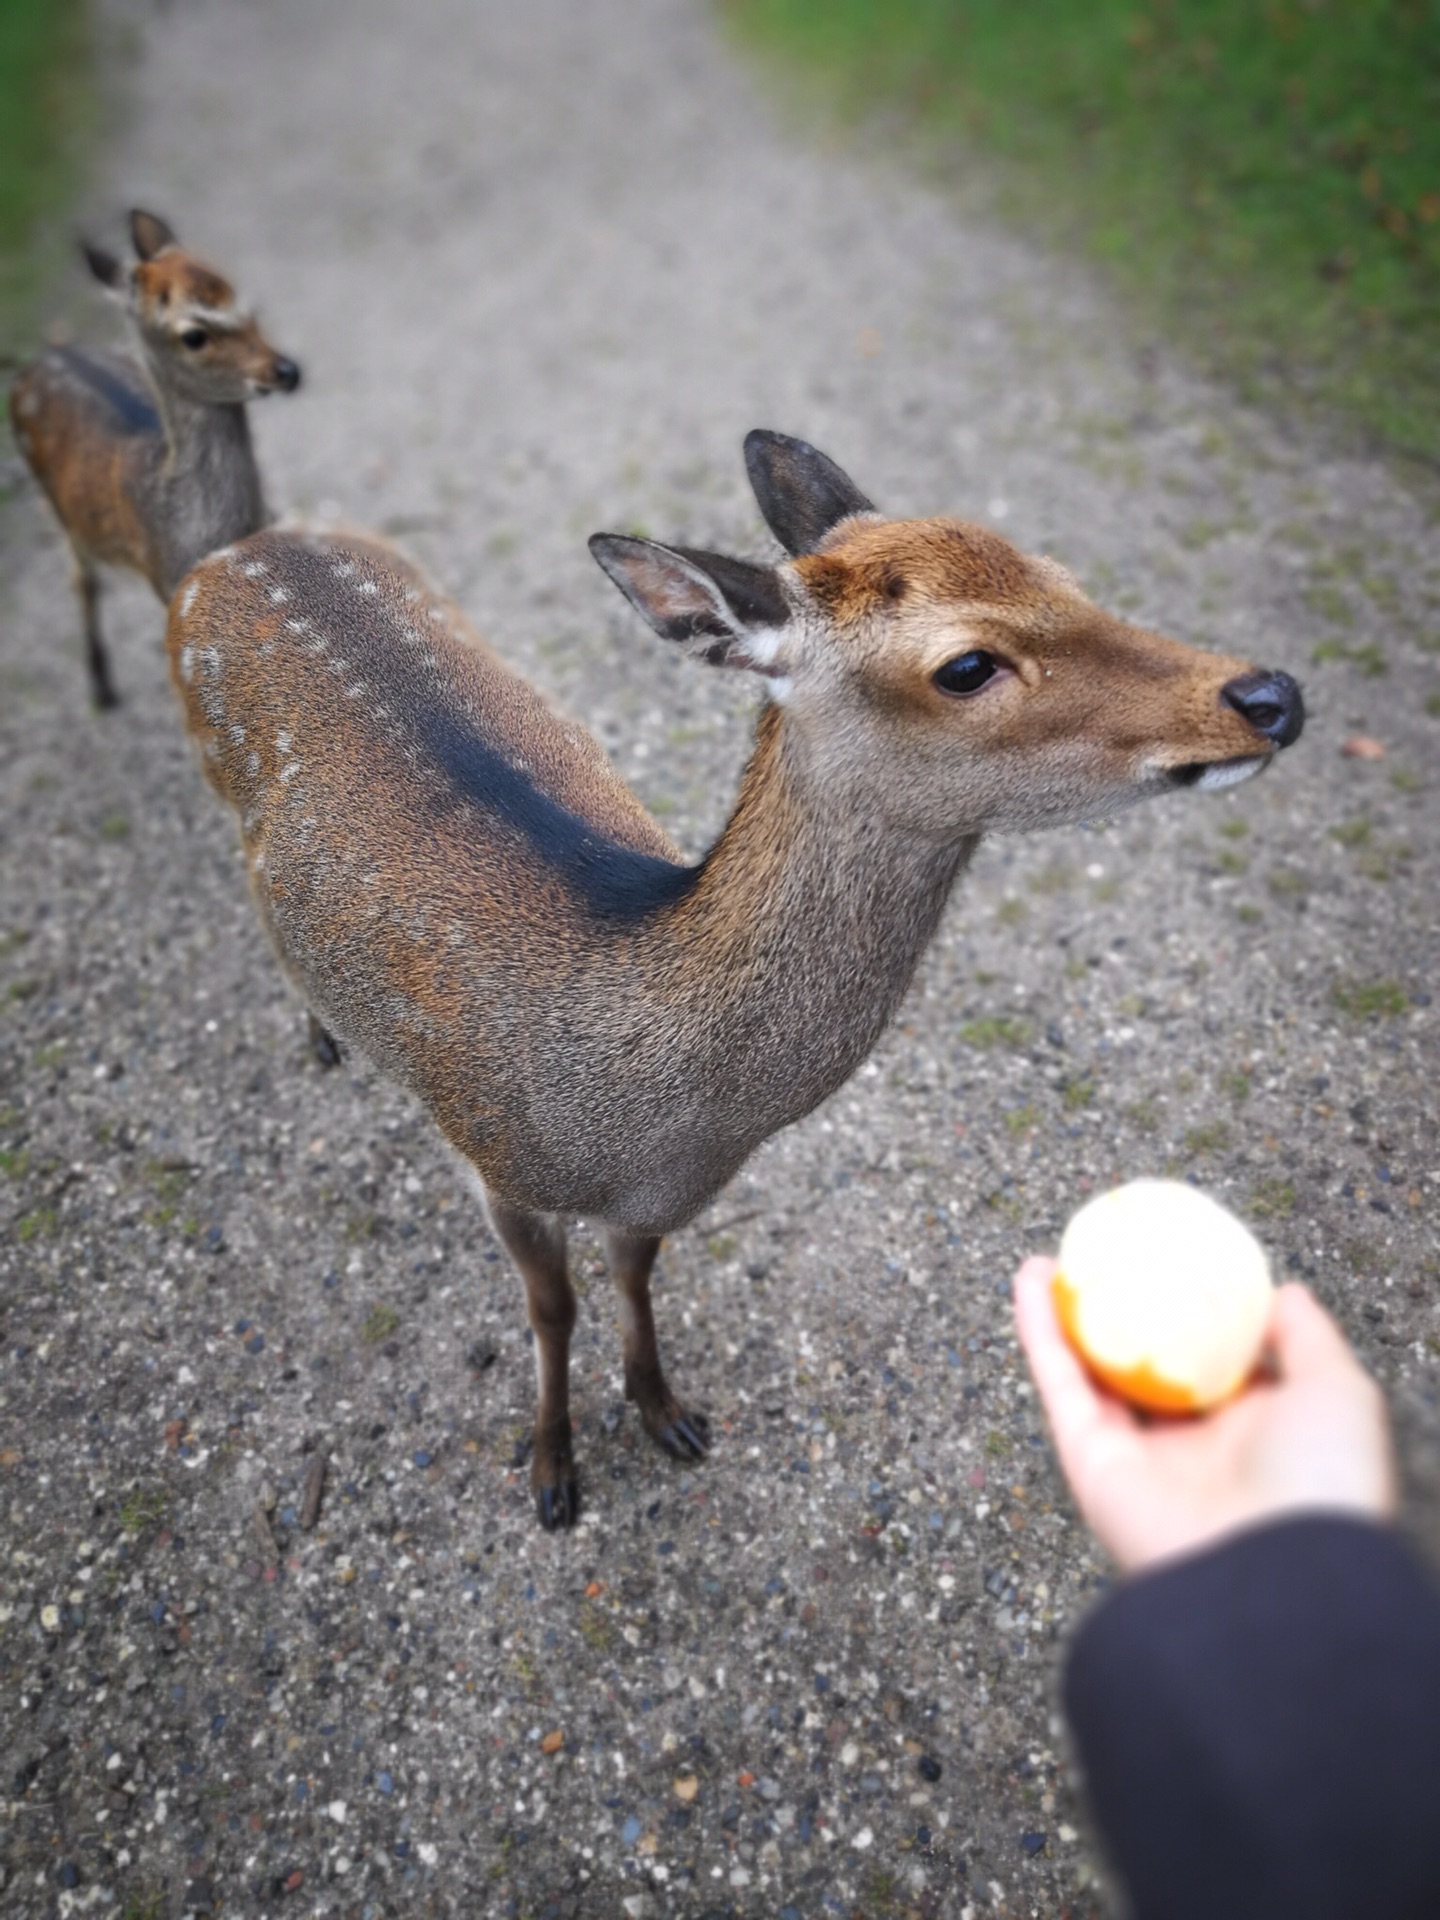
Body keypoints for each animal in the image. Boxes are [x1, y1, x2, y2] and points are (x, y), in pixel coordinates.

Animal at [7, 204, 301, 714]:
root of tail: (38, 358)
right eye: (194, 335)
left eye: (248, 308)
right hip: (58, 511)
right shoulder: (169, 584)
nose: (288, 370)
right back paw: (102, 691)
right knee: (82, 581)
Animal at [163, 432, 1305, 1528]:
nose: (1271, 694)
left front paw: (667, 1412)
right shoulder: (496, 1162)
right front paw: (551, 1468)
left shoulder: (663, 1199)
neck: (657, 1119)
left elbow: (633, 1278)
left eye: (1063, 575)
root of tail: (235, 548)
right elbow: (550, 1309)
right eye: (967, 664)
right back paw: (321, 1032)